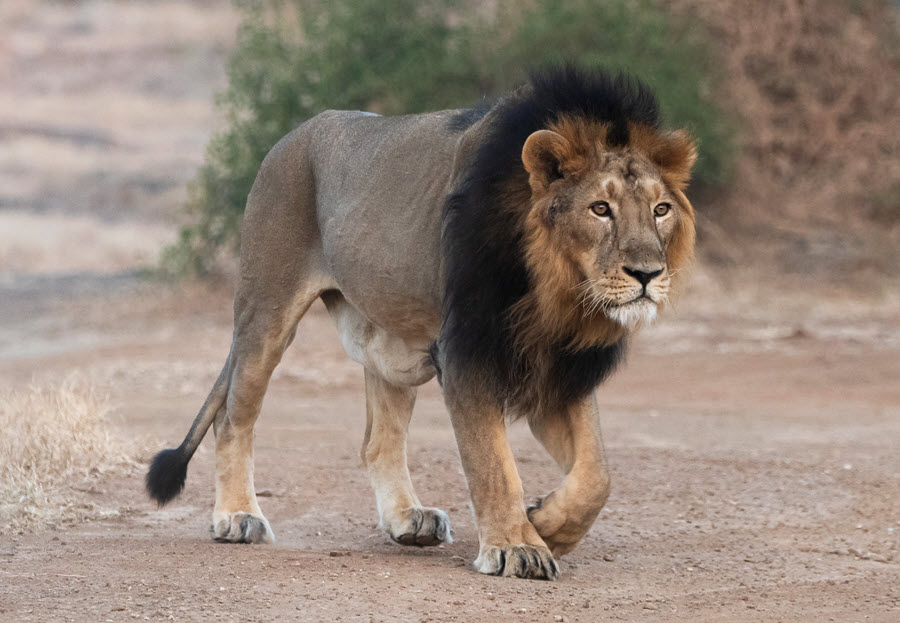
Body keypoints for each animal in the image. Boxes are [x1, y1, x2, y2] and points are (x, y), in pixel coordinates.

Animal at [146, 65, 697, 580]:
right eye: (600, 208)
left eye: (660, 209)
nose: (648, 274)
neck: (556, 291)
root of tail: (291, 135)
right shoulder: (466, 353)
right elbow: (493, 463)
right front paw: (516, 546)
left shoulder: (562, 366)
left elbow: (597, 474)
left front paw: (546, 524)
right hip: (266, 312)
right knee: (233, 417)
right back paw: (237, 516)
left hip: (390, 341)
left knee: (377, 441)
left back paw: (408, 519)